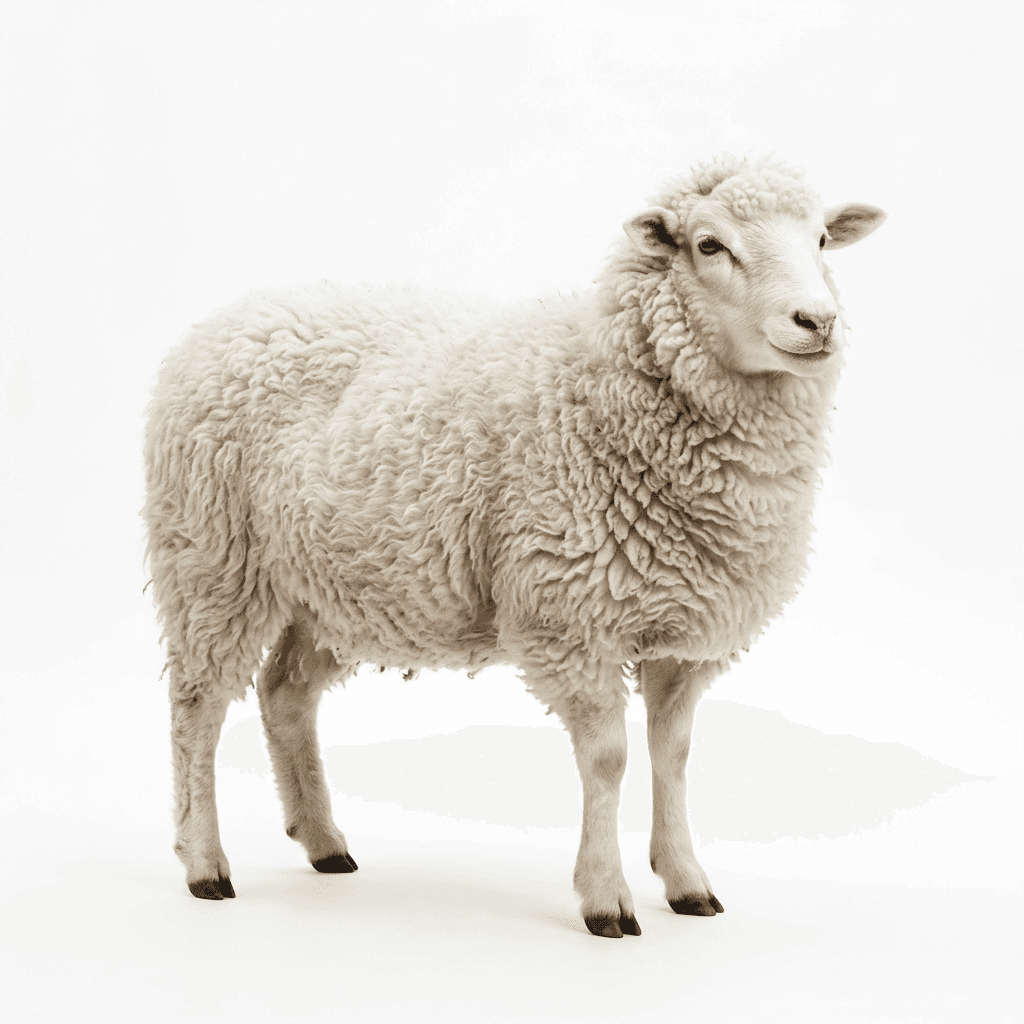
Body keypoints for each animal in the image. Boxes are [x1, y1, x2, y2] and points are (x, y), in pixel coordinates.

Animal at [144, 154, 885, 938]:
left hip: (334, 586)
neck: (605, 387)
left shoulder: (684, 634)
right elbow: (609, 759)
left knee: (284, 692)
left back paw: (323, 842)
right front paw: (606, 898)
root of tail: (231, 315)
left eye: (823, 240)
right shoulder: (571, 618)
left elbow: (674, 754)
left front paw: (686, 881)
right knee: (197, 706)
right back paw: (204, 862)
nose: (818, 321)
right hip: (211, 560)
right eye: (709, 245)